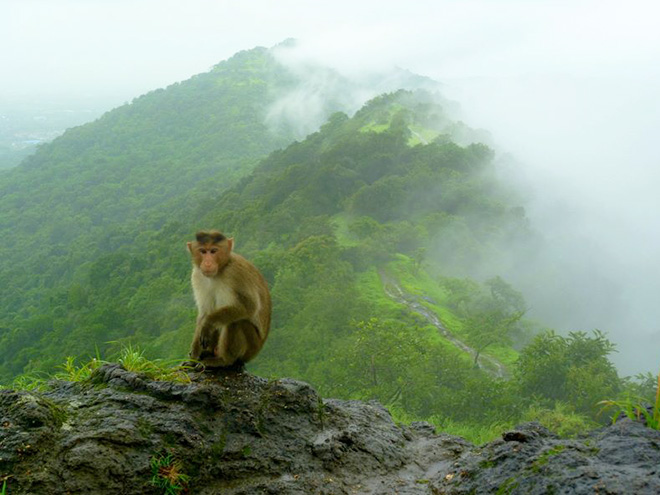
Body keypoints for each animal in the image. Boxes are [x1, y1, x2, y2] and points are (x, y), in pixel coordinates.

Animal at [183, 231, 270, 370]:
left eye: (213, 251)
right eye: (203, 251)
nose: (207, 263)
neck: (220, 270)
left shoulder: (236, 274)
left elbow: (250, 306)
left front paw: (209, 323)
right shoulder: (197, 276)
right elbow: (204, 314)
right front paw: (193, 359)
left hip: (250, 348)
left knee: (235, 321)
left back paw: (223, 360)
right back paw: (207, 353)